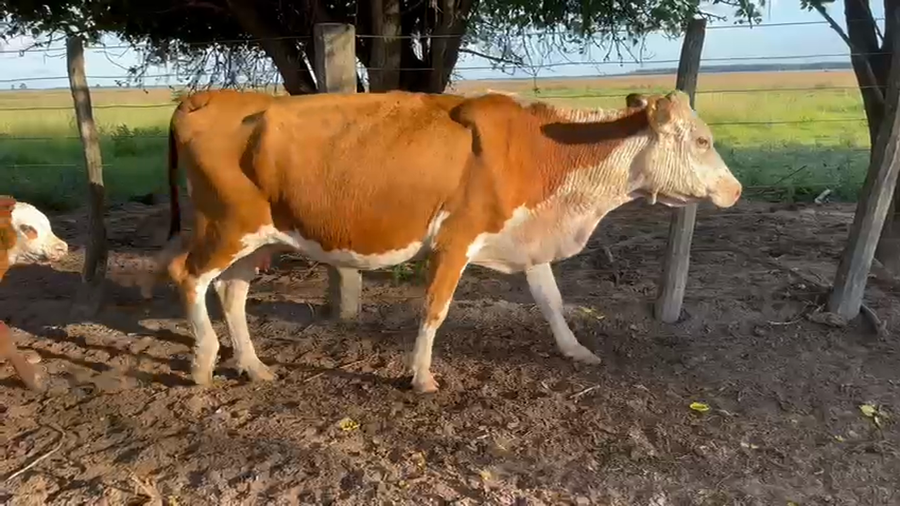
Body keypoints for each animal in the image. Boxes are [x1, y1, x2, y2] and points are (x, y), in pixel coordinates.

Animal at [142, 88, 742, 394]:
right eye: (702, 140)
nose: (734, 189)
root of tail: (206, 96)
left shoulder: (524, 238)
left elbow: (551, 300)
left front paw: (575, 350)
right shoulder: (456, 240)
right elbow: (434, 310)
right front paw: (422, 376)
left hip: (263, 236)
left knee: (232, 291)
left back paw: (253, 365)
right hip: (225, 225)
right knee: (188, 276)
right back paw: (204, 362)